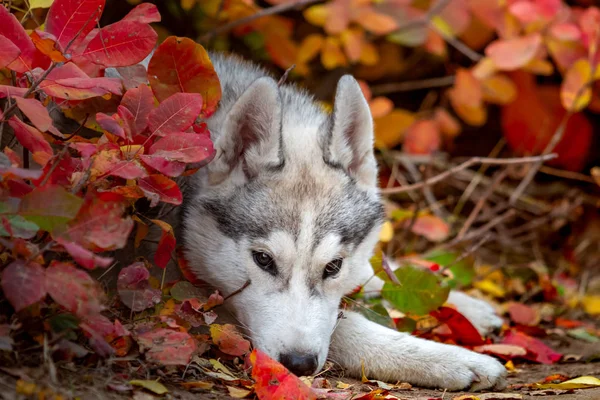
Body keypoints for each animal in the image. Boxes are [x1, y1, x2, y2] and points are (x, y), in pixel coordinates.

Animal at [143, 51, 508, 390]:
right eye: (263, 260)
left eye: (333, 266)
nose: (299, 363)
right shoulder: (190, 293)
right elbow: (345, 327)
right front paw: (448, 358)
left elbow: (377, 275)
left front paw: (460, 303)